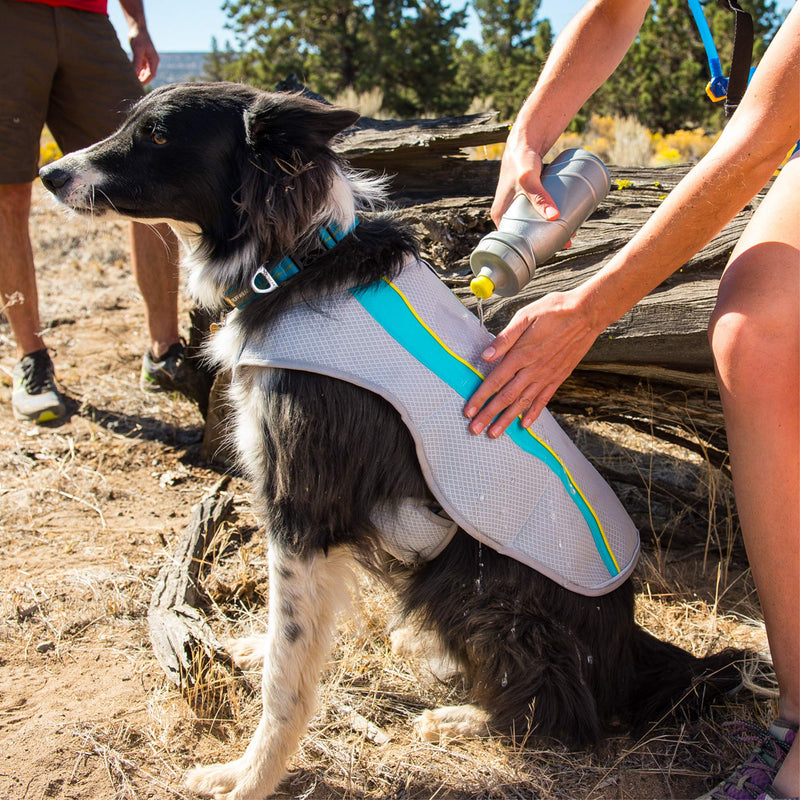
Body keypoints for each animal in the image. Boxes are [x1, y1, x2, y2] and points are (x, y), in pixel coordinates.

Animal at [39, 83, 744, 800]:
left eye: (157, 135)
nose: (50, 174)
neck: (295, 260)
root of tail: (629, 648)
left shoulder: (301, 507)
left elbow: (287, 673)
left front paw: (250, 775)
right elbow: (292, 631)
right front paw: (257, 651)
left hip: (482, 592)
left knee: (567, 713)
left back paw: (465, 716)